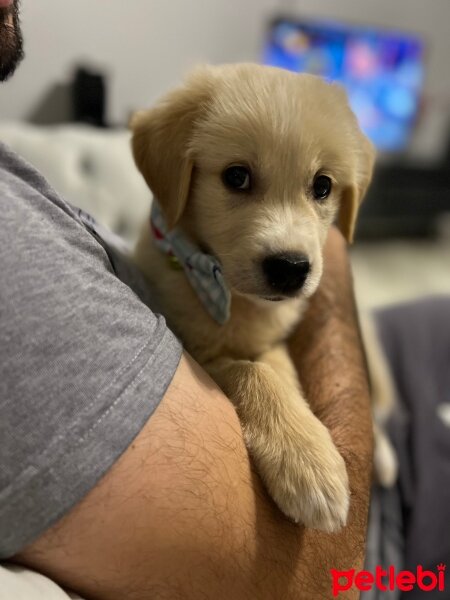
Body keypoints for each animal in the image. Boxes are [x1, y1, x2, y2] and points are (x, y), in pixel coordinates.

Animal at [131, 64, 376, 536]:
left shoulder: (273, 340)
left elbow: (278, 370)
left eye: (323, 186)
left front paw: (306, 442)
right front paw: (307, 461)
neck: (235, 298)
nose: (291, 268)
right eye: (236, 177)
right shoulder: (194, 352)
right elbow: (251, 372)